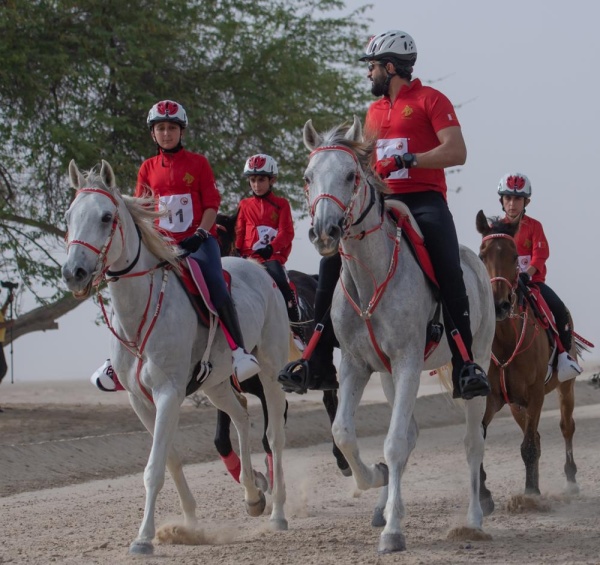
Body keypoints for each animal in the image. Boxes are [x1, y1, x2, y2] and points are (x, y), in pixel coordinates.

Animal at [62, 160, 290, 556]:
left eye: (106, 217)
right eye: (69, 215)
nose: (73, 272)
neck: (140, 313)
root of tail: (259, 269)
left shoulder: (168, 392)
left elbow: (154, 467)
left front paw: (143, 538)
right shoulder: (140, 401)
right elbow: (169, 459)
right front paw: (189, 524)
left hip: (270, 371)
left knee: (274, 435)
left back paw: (277, 513)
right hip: (216, 383)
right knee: (240, 415)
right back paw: (252, 496)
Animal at [214, 212, 346, 480]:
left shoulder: (270, 390)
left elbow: (268, 440)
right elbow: (221, 440)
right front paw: (252, 478)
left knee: (330, 399)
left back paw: (341, 458)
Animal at [302, 117, 494, 552]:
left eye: (351, 175)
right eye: (307, 177)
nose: (325, 232)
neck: (370, 278)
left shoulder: (407, 362)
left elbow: (392, 442)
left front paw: (392, 532)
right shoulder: (357, 366)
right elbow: (344, 433)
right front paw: (376, 480)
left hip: (478, 360)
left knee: (471, 442)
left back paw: (473, 519)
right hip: (388, 374)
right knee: (410, 434)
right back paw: (385, 503)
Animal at [476, 210, 580, 512]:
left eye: (514, 256)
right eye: (481, 255)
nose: (499, 304)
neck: (505, 339)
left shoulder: (535, 394)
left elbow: (529, 447)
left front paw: (531, 492)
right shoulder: (492, 398)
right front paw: (484, 497)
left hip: (564, 389)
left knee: (566, 427)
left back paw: (571, 480)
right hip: (516, 405)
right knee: (535, 434)